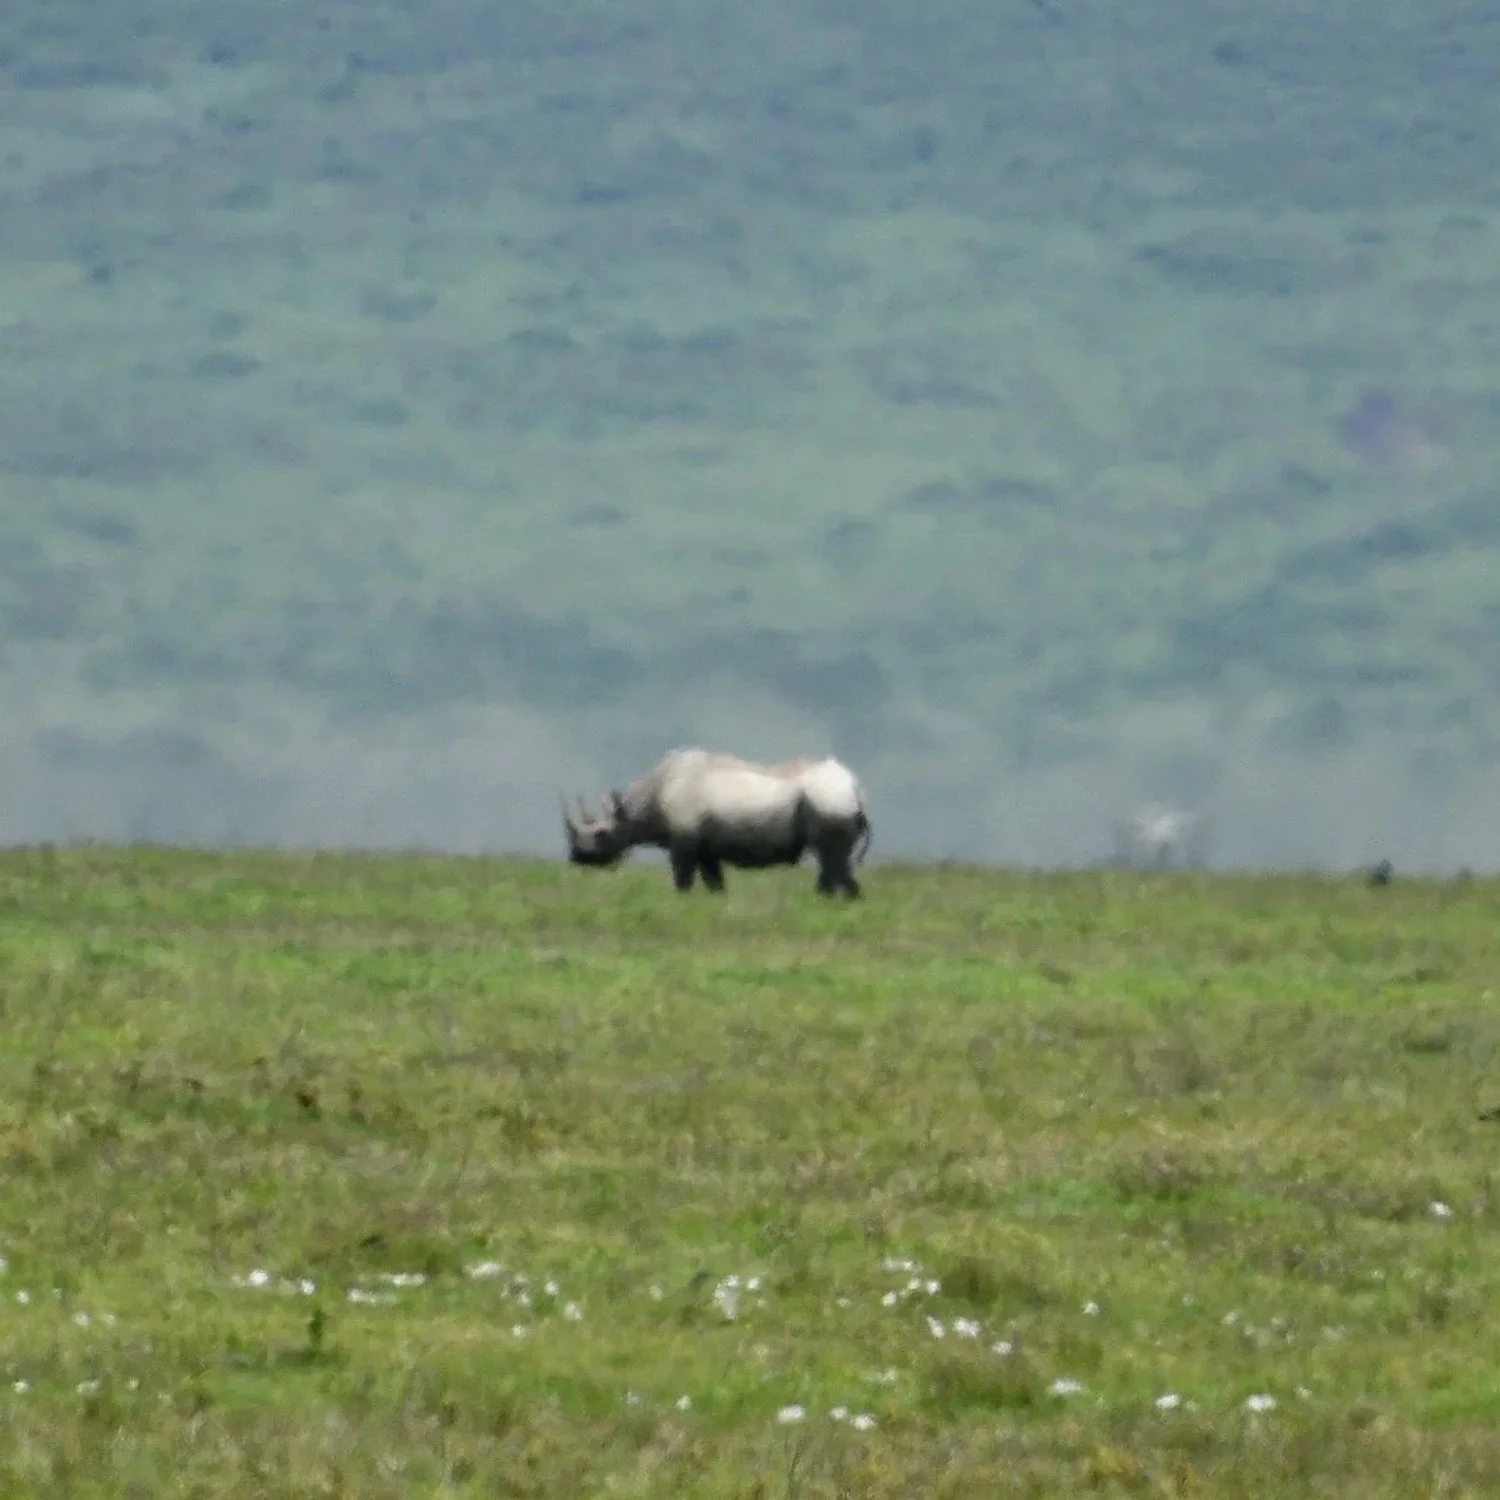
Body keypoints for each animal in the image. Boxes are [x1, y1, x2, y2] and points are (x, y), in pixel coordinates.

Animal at [561, 747, 872, 897]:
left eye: (603, 835)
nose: (579, 856)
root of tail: (855, 790)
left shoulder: (684, 840)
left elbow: (683, 878)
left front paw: (681, 900)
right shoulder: (706, 846)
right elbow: (714, 881)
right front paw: (717, 901)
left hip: (827, 800)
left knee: (830, 856)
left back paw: (824, 899)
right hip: (833, 800)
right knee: (836, 859)